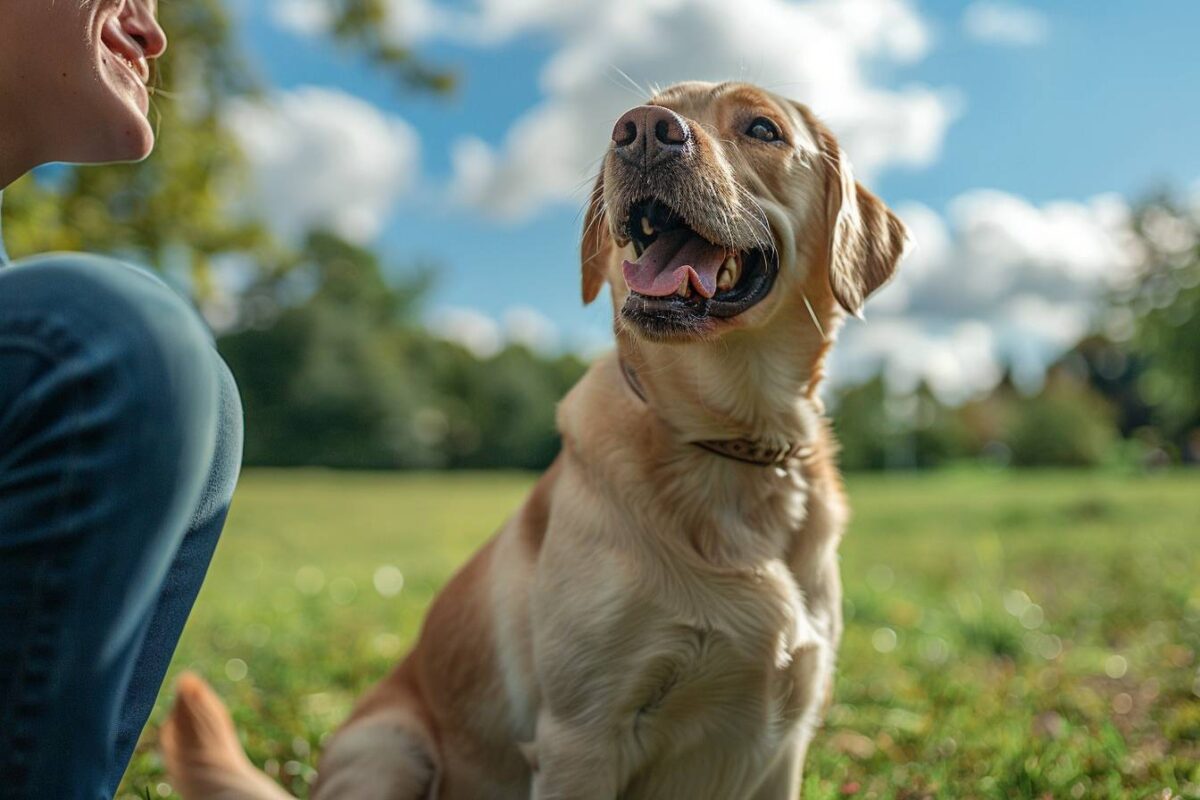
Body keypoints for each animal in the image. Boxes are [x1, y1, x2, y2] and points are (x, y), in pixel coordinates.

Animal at [164, 81, 902, 800]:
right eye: (647, 111)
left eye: (762, 129)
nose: (641, 131)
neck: (730, 443)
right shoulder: (581, 733)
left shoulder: (784, 739)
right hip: (388, 747)